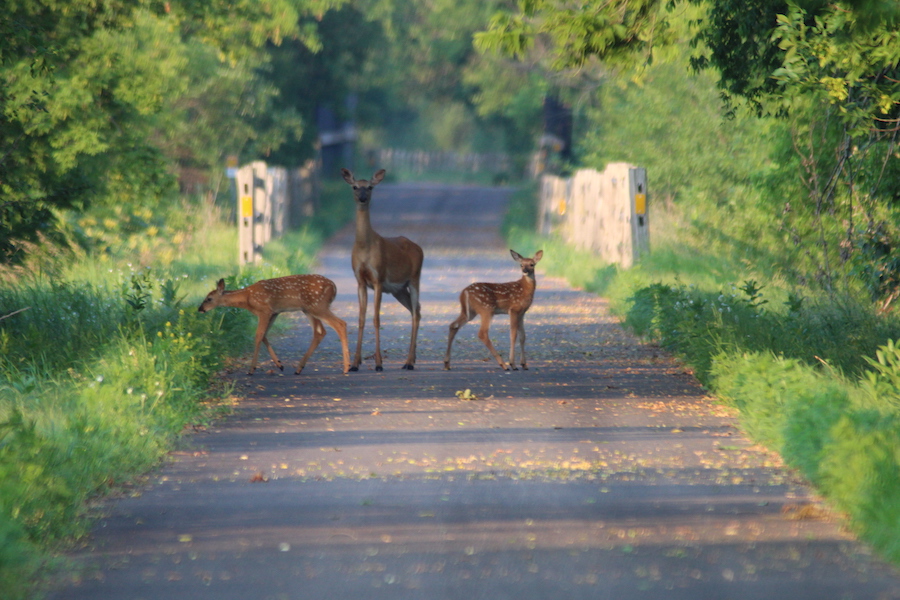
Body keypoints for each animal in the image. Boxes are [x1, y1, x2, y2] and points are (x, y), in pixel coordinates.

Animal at [199, 276, 350, 376]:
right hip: (309, 309)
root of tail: (334, 287)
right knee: (320, 332)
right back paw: (299, 368)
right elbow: (264, 335)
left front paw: (251, 369)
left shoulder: (264, 310)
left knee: (340, 324)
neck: (247, 299)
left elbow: (258, 335)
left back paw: (346, 368)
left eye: (209, 299)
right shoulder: (274, 312)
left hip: (317, 305)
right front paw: (279, 364)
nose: (200, 309)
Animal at [342, 165, 424, 370]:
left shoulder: (378, 278)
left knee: (415, 313)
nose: (363, 198)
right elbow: (361, 318)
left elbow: (376, 319)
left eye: (370, 187)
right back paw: (412, 359)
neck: (365, 247)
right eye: (355, 187)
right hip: (398, 289)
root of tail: (418, 247)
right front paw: (355, 364)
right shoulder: (360, 280)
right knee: (416, 310)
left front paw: (379, 363)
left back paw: (408, 362)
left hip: (415, 277)